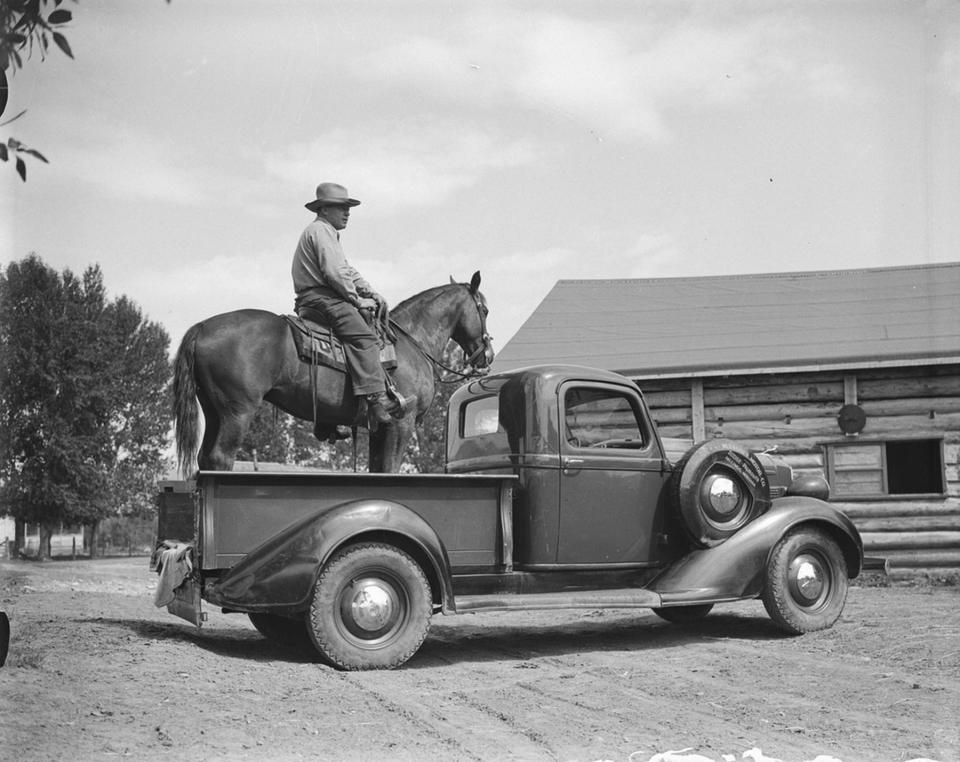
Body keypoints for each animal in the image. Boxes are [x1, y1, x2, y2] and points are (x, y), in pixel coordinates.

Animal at [172, 272, 496, 476]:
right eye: (485, 310)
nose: (487, 355)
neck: (411, 340)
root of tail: (201, 326)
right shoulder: (401, 423)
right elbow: (390, 468)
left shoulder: (379, 427)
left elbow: (378, 470)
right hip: (238, 412)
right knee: (220, 458)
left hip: (214, 411)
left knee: (205, 458)